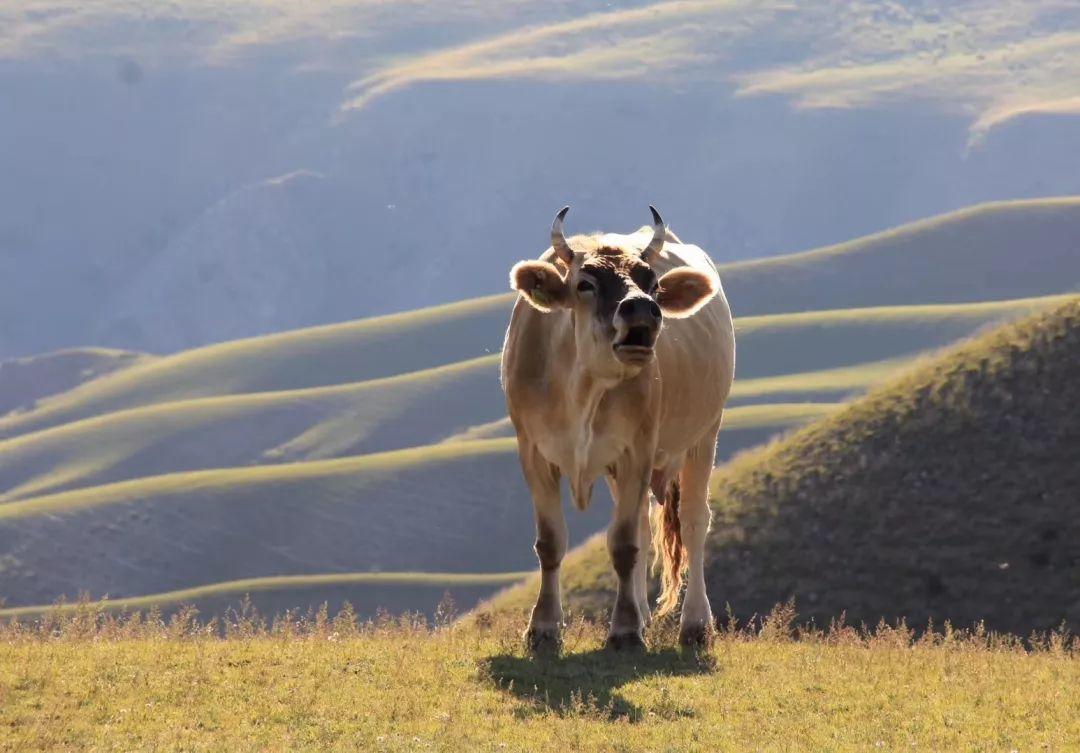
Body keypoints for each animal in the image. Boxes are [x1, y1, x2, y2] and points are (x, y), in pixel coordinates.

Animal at [501, 207, 738, 652]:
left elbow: (625, 544)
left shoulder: (637, 450)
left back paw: (695, 624)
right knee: (646, 527)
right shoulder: (534, 452)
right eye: (585, 283)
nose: (642, 309)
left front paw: (625, 630)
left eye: (653, 283)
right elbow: (551, 542)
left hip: (704, 435)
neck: (580, 388)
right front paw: (543, 628)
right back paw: (646, 615)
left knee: (694, 522)